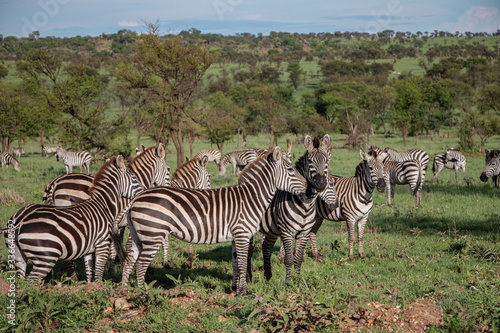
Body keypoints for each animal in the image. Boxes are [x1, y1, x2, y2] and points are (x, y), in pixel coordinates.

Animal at [1, 156, 146, 282]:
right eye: (134, 177)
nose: (145, 191)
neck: (103, 204)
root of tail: (19, 220)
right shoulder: (103, 244)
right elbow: (99, 274)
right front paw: (100, 287)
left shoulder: (89, 249)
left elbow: (89, 272)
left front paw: (90, 288)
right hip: (45, 257)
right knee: (32, 281)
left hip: (18, 256)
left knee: (22, 281)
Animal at [119, 145, 308, 294]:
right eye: (291, 170)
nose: (308, 186)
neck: (251, 197)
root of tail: (136, 198)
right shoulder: (242, 234)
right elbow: (243, 263)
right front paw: (244, 291)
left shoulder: (235, 236)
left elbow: (235, 263)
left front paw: (235, 289)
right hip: (153, 233)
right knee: (140, 264)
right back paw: (143, 293)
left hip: (138, 234)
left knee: (129, 261)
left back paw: (125, 290)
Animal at [258, 134, 336, 282]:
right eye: (310, 161)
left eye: (327, 161)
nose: (321, 184)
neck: (306, 205)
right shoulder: (287, 232)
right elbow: (289, 259)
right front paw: (288, 282)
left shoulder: (304, 233)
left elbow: (298, 258)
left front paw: (299, 281)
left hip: (271, 228)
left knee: (266, 247)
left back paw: (268, 276)